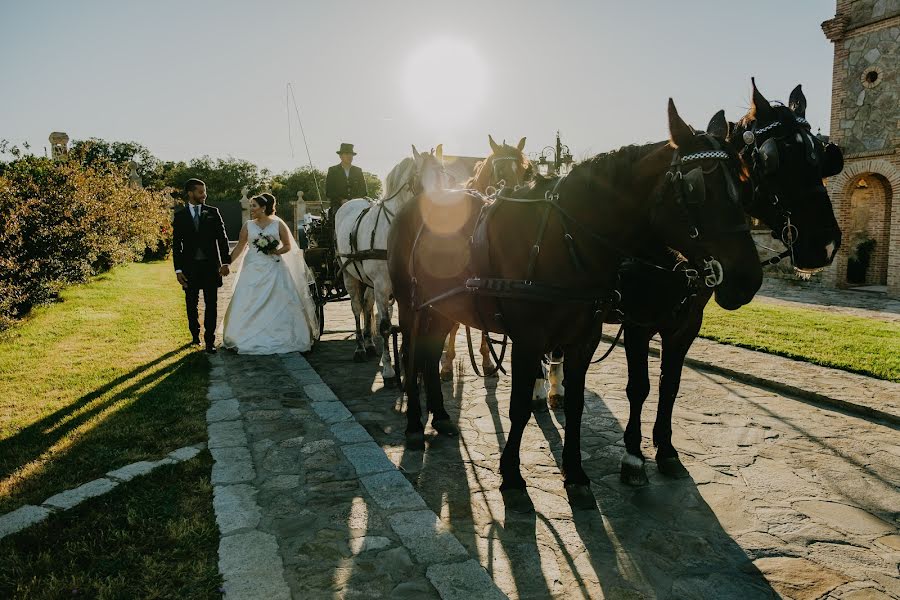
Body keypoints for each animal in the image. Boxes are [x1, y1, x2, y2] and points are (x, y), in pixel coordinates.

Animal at [334, 144, 450, 384]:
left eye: (446, 177)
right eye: (421, 181)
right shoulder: (382, 286)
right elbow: (386, 326)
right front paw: (389, 369)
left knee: (367, 307)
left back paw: (370, 345)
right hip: (350, 276)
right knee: (357, 307)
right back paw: (360, 347)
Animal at [390, 99, 764, 510]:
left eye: (744, 183)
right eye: (697, 186)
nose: (748, 278)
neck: (562, 237)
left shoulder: (593, 338)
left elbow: (584, 402)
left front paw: (577, 473)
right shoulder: (535, 339)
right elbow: (520, 406)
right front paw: (513, 478)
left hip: (443, 307)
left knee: (428, 355)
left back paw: (440, 415)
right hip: (411, 305)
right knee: (411, 355)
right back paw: (414, 424)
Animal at [620, 79, 844, 486]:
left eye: (821, 158)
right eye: (773, 160)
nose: (825, 244)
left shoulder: (687, 324)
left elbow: (670, 384)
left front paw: (666, 449)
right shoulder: (637, 322)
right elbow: (639, 386)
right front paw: (632, 454)